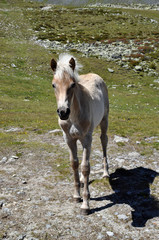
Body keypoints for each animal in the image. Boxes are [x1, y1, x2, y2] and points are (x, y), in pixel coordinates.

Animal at [50, 54, 109, 214]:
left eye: (73, 85)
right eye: (53, 85)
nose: (63, 112)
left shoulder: (86, 138)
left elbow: (85, 167)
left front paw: (85, 204)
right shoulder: (69, 139)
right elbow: (74, 164)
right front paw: (77, 196)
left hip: (104, 121)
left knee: (104, 141)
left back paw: (105, 173)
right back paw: (83, 180)